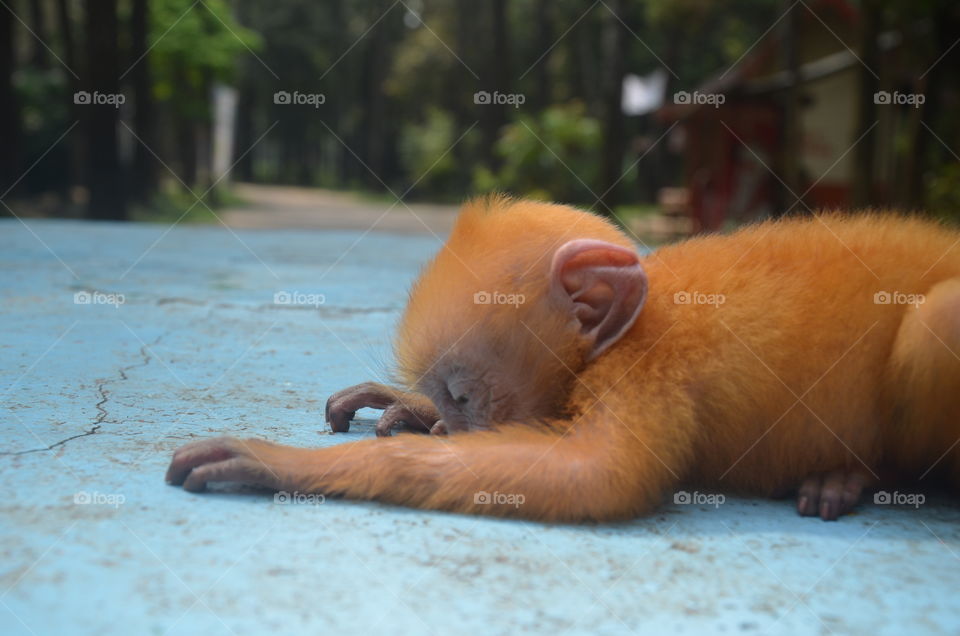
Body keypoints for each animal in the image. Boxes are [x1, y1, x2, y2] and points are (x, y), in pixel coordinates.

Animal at [166, 196, 960, 522]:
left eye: (465, 394)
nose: (454, 427)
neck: (638, 319)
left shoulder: (643, 370)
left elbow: (598, 478)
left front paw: (276, 463)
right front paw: (406, 411)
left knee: (933, 321)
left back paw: (858, 476)